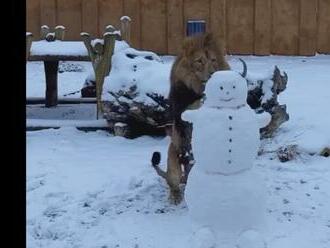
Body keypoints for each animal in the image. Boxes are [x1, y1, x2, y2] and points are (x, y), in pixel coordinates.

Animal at [151, 32, 229, 203]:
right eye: (199, 61)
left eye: (213, 60)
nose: (213, 74)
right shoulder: (182, 115)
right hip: (174, 152)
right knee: (174, 181)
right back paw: (176, 196)